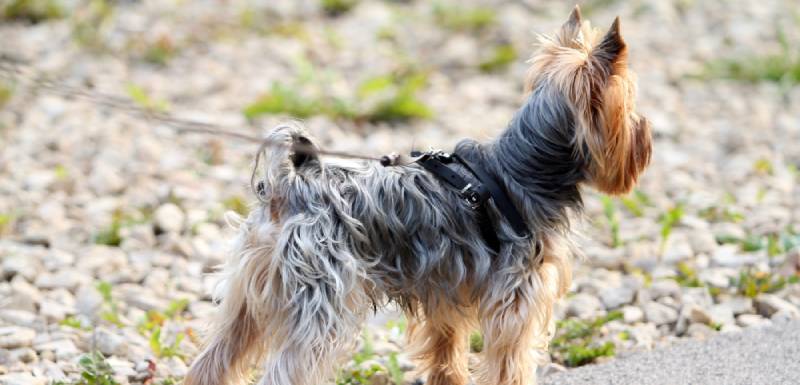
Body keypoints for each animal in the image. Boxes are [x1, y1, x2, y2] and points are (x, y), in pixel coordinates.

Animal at [186, 6, 648, 384]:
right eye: (629, 107)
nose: (646, 132)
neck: (524, 171)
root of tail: (290, 185)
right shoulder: (516, 301)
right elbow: (508, 363)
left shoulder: (446, 292)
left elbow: (446, 350)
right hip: (320, 303)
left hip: (248, 297)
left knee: (213, 360)